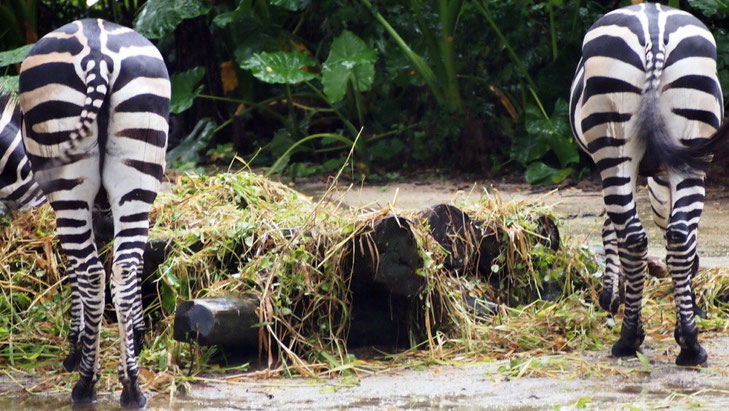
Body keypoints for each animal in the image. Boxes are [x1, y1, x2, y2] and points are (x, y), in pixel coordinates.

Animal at [19, 18, 169, 407]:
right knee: (125, 268)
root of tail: (98, 52)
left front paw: (75, 347)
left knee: (91, 273)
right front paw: (137, 335)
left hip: (68, 181)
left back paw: (86, 383)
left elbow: (73, 269)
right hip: (138, 169)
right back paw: (132, 386)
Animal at [570, 2, 729, 366]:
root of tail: (654, 30)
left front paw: (612, 296)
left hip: (613, 145)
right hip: (691, 143)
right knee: (679, 237)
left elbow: (609, 230)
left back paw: (629, 339)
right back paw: (690, 346)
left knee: (634, 237)